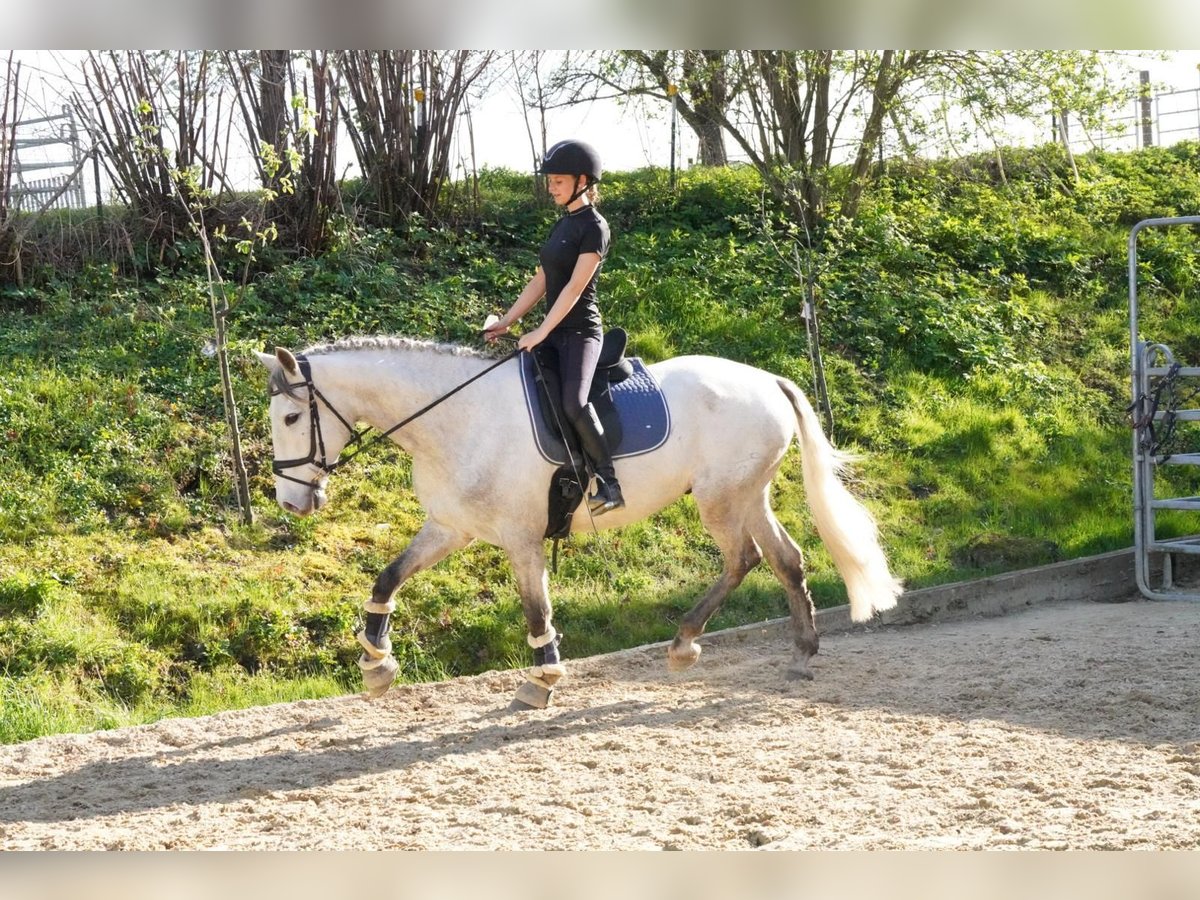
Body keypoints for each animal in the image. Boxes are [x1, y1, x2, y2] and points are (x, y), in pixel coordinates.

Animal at [258, 336, 902, 710]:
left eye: (290, 417)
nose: (291, 503)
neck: (456, 419)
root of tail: (767, 378)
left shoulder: (521, 537)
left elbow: (535, 610)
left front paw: (541, 680)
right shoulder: (450, 526)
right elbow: (388, 578)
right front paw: (376, 661)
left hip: (721, 497)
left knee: (743, 559)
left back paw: (685, 645)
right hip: (747, 493)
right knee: (784, 559)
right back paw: (800, 654)